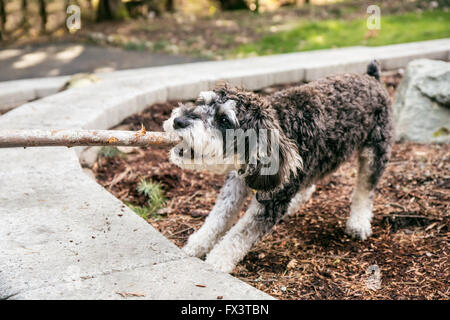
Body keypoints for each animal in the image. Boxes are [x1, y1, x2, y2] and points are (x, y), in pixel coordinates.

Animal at [163, 61, 394, 274]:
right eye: (201, 102)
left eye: (224, 120)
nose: (178, 120)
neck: (281, 124)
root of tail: (372, 78)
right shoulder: (236, 184)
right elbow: (218, 217)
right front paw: (196, 245)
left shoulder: (271, 203)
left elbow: (239, 236)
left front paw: (215, 263)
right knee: (310, 184)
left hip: (375, 153)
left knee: (365, 190)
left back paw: (358, 223)